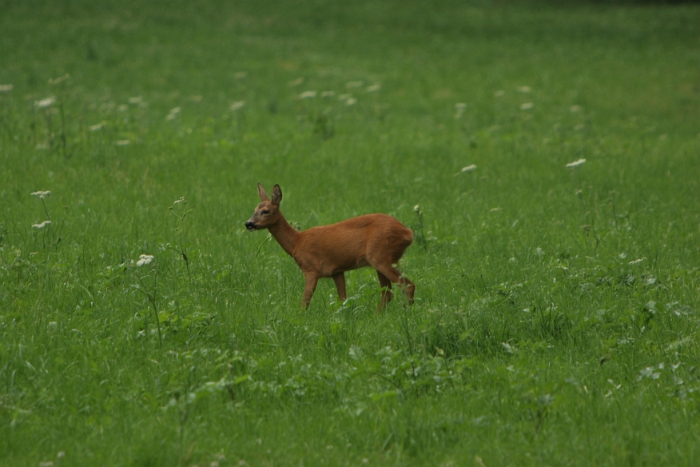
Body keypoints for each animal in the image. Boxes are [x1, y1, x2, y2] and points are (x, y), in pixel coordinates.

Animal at [245, 185, 416, 312]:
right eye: (254, 209)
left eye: (265, 211)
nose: (248, 223)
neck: (296, 242)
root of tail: (408, 233)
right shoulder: (337, 271)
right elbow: (344, 300)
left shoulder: (311, 269)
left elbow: (304, 302)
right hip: (380, 260)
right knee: (387, 292)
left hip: (381, 256)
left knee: (407, 285)